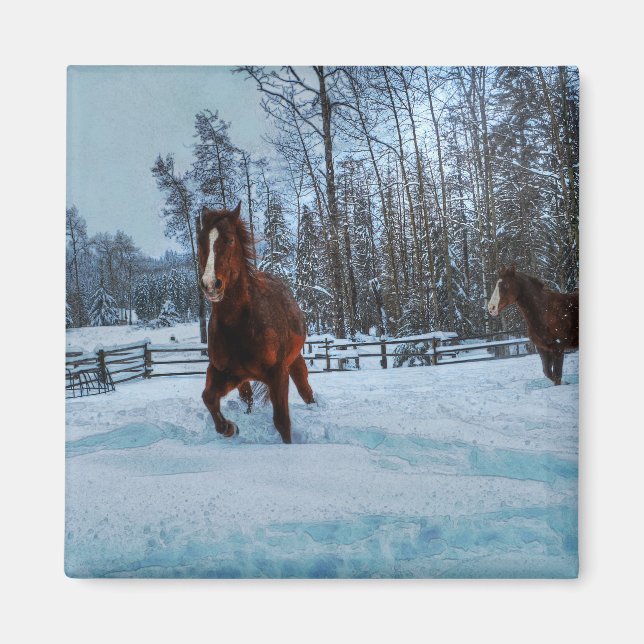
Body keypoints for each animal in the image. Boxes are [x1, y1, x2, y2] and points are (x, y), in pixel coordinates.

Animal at [198, 202, 315, 443]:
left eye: (229, 240)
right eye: (200, 241)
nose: (210, 284)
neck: (241, 326)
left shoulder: (278, 374)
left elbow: (282, 422)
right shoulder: (223, 372)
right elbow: (208, 397)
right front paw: (229, 427)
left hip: (294, 360)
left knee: (306, 390)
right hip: (243, 380)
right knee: (247, 399)